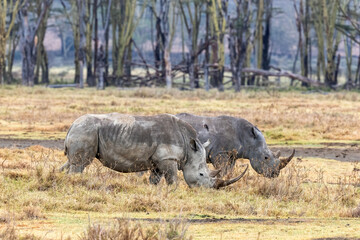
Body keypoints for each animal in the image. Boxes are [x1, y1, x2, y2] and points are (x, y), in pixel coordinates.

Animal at [59, 113, 248, 188]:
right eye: (201, 174)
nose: (210, 189)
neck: (189, 148)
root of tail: (72, 125)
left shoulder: (158, 162)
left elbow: (154, 181)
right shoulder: (168, 159)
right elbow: (172, 180)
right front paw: (173, 192)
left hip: (83, 131)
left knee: (71, 163)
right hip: (86, 131)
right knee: (80, 164)